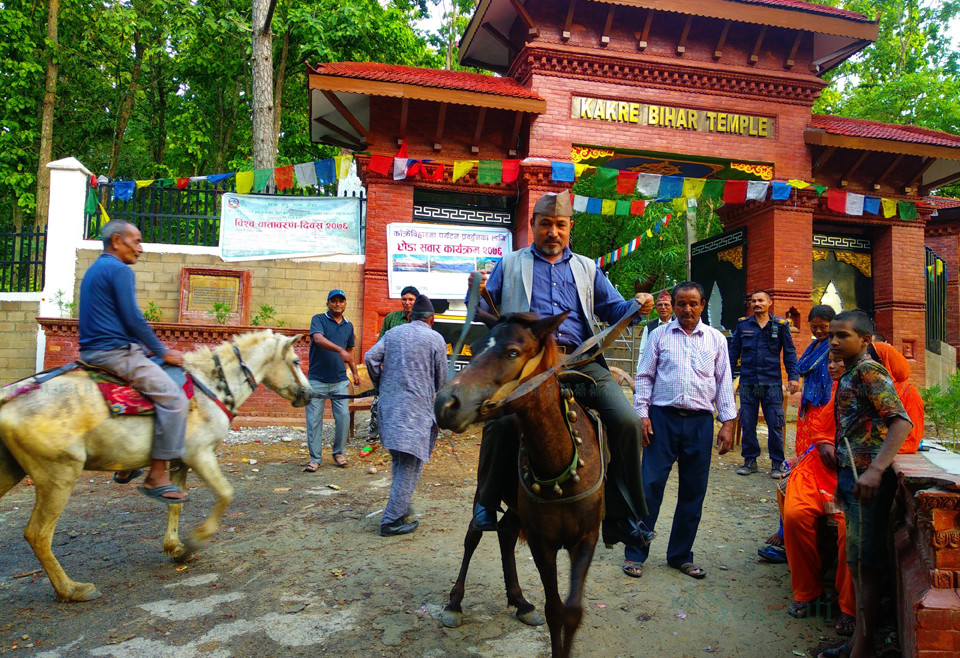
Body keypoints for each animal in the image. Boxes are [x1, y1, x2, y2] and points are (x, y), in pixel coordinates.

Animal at [0, 330, 310, 604]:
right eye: (296, 361)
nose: (310, 393)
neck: (211, 385)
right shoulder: (199, 454)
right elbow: (225, 495)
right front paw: (193, 543)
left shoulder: (179, 462)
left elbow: (175, 504)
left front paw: (174, 547)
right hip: (59, 474)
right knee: (38, 534)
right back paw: (71, 589)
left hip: (11, 471)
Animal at [434, 312, 600, 656]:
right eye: (476, 347)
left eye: (512, 352)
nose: (445, 403)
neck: (559, 463)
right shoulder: (541, 541)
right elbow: (554, 610)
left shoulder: (587, 538)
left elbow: (572, 613)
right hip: (484, 493)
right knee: (474, 535)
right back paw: (455, 603)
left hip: (516, 508)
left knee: (507, 533)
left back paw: (520, 601)